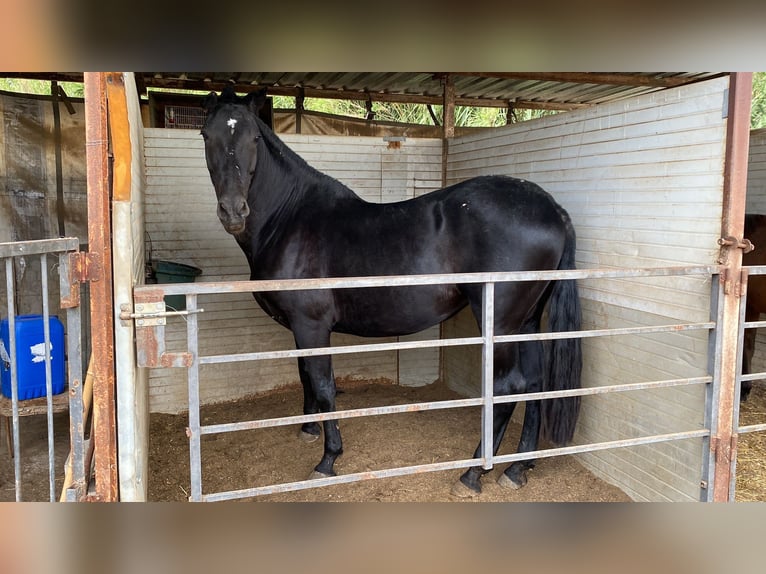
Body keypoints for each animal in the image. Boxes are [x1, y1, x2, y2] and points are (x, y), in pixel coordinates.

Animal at [201, 88, 584, 498]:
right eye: (207, 136)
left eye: (254, 138)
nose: (233, 212)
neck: (290, 220)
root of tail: (553, 209)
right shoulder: (299, 329)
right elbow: (305, 375)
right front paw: (309, 429)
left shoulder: (311, 325)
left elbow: (323, 384)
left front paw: (328, 459)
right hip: (526, 321)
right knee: (535, 384)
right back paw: (518, 467)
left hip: (500, 322)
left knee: (508, 386)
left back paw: (471, 474)